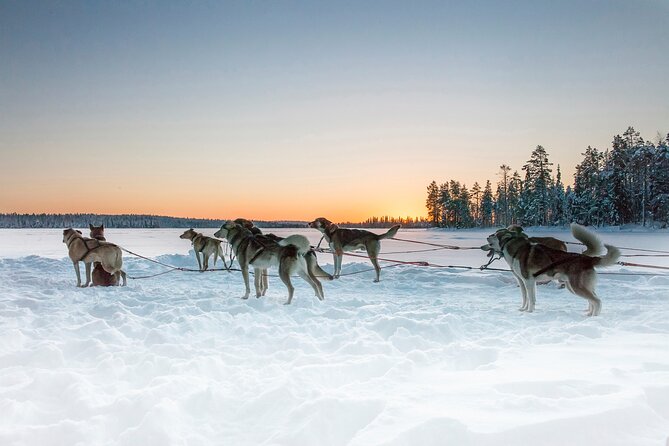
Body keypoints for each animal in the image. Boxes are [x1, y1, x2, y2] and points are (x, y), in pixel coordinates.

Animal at [486, 223, 620, 318]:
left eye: (494, 234)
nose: (487, 237)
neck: (516, 250)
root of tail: (588, 258)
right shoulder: (528, 282)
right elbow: (529, 298)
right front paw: (525, 310)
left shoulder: (528, 281)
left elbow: (530, 299)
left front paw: (529, 312)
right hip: (576, 287)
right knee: (592, 300)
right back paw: (589, 314)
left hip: (577, 287)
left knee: (597, 301)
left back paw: (594, 317)